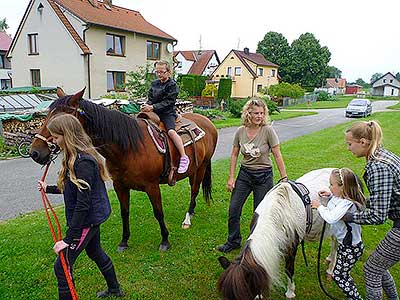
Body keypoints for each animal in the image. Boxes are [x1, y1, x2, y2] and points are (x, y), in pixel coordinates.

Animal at [30, 88, 219, 251]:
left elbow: (158, 213)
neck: (128, 147)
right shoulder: (120, 186)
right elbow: (124, 212)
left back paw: (187, 218)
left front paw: (165, 240)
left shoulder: (152, 186)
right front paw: (124, 241)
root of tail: (207, 121)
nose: (35, 152)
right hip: (193, 170)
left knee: (194, 191)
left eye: (58, 119)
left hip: (201, 167)